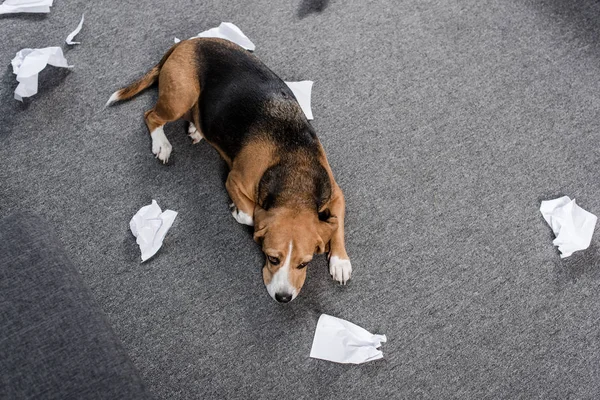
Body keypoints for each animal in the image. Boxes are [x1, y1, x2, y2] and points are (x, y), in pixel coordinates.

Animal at [108, 38, 352, 304]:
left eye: (304, 264)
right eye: (272, 258)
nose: (283, 298)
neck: (295, 175)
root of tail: (189, 42)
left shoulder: (335, 193)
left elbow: (337, 223)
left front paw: (340, 260)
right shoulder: (234, 180)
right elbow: (249, 215)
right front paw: (238, 211)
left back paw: (196, 129)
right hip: (181, 96)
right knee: (151, 116)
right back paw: (161, 143)